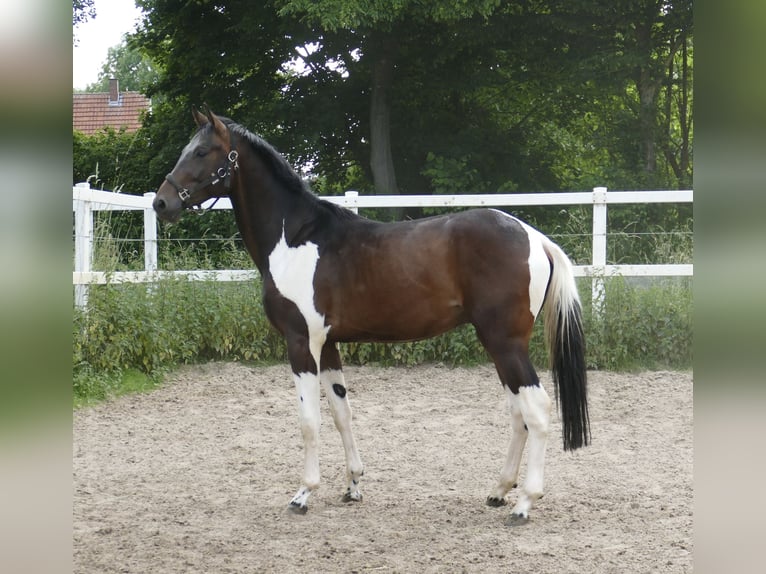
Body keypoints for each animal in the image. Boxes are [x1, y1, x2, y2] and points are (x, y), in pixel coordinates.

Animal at [153, 108, 590, 525]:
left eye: (202, 151)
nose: (161, 203)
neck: (294, 238)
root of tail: (536, 238)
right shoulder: (328, 345)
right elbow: (341, 413)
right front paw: (352, 486)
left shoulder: (301, 343)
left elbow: (309, 421)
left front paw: (303, 494)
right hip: (499, 347)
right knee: (518, 414)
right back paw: (499, 492)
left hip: (505, 343)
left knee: (537, 411)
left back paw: (524, 504)